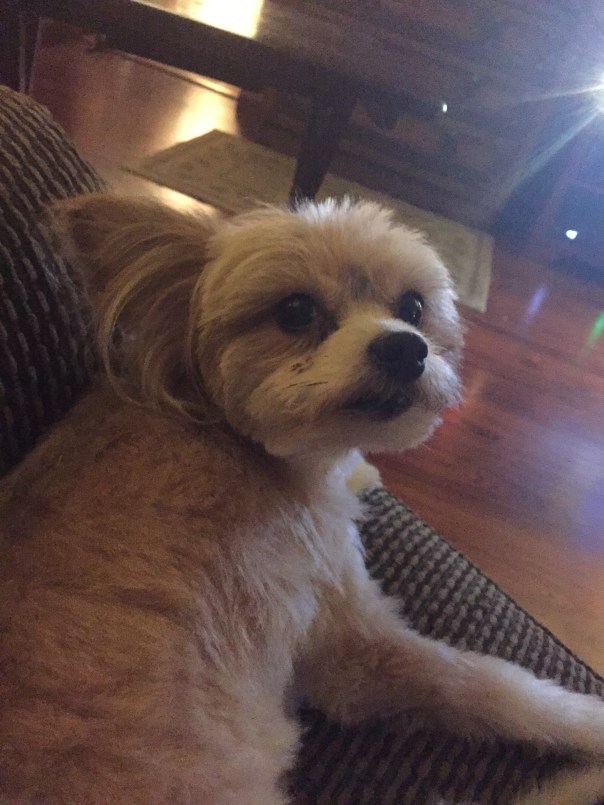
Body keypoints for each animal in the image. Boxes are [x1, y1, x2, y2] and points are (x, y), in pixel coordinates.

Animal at [1, 195, 603, 804]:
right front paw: (589, 723)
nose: (406, 348)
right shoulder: (354, 644)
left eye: (412, 306)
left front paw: (362, 470)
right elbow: (494, 686)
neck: (241, 442)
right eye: (295, 310)